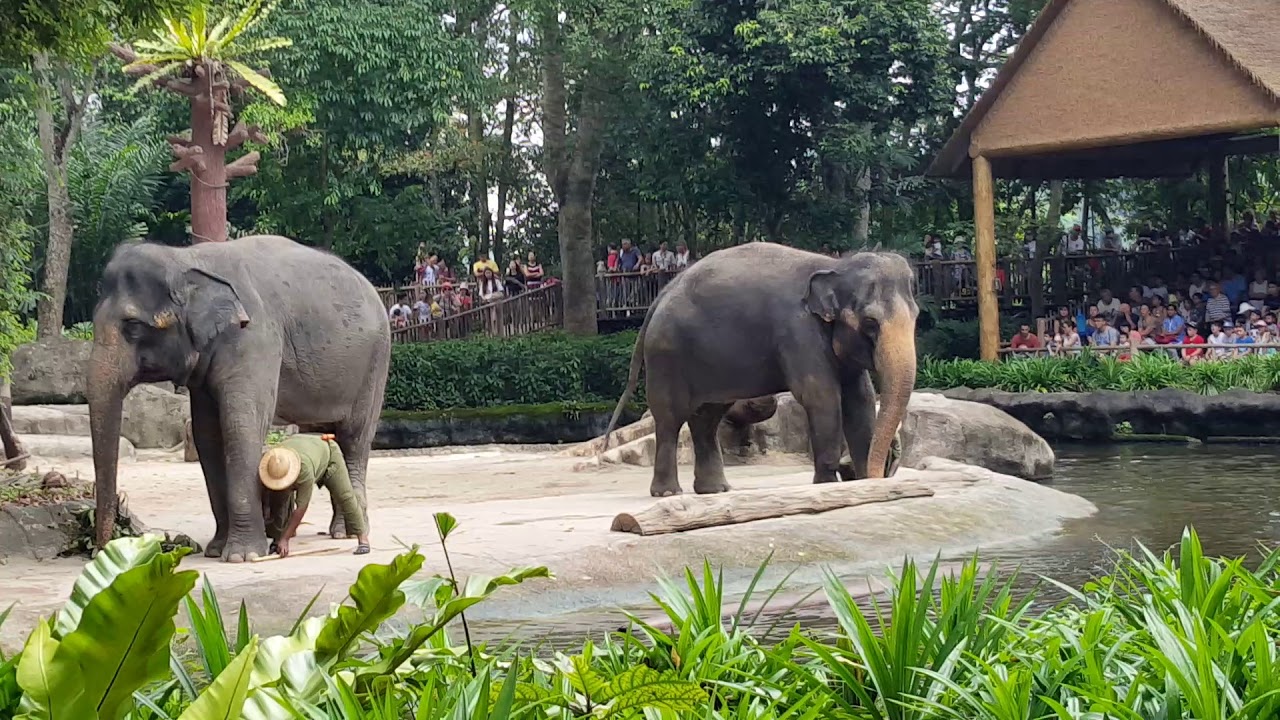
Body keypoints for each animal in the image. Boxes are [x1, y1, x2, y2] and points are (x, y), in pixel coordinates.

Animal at [87, 235, 391, 562]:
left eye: (132, 326)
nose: (101, 551)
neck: (186, 258)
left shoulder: (254, 337)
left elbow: (241, 425)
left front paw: (242, 556)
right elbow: (207, 434)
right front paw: (216, 549)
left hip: (375, 364)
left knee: (354, 438)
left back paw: (345, 533)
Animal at [603, 242, 917, 497]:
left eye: (916, 316)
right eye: (870, 323)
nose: (882, 473)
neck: (835, 266)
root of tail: (661, 295)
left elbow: (860, 398)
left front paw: (863, 482)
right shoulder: (797, 331)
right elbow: (821, 397)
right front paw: (828, 484)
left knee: (706, 417)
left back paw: (715, 490)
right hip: (666, 355)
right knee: (670, 417)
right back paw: (669, 493)